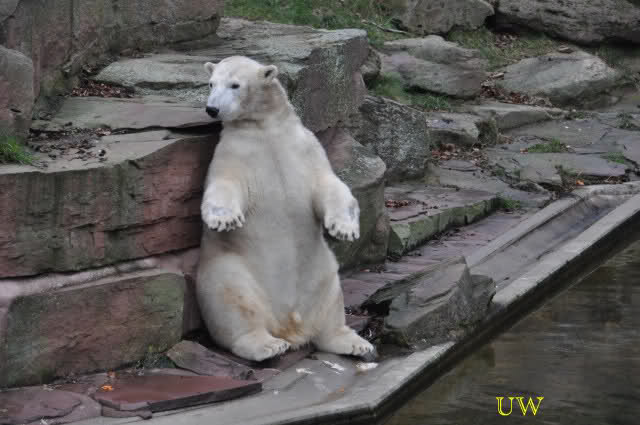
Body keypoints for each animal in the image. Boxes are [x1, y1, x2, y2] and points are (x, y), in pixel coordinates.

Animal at [196, 56, 375, 362]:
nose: (212, 108)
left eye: (235, 84)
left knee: (331, 299)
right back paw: (266, 345)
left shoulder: (305, 147)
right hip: (230, 266)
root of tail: (290, 327)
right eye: (211, 83)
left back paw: (354, 343)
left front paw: (344, 229)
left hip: (321, 272)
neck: (264, 127)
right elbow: (225, 184)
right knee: (230, 296)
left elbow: (329, 184)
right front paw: (224, 220)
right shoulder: (234, 153)